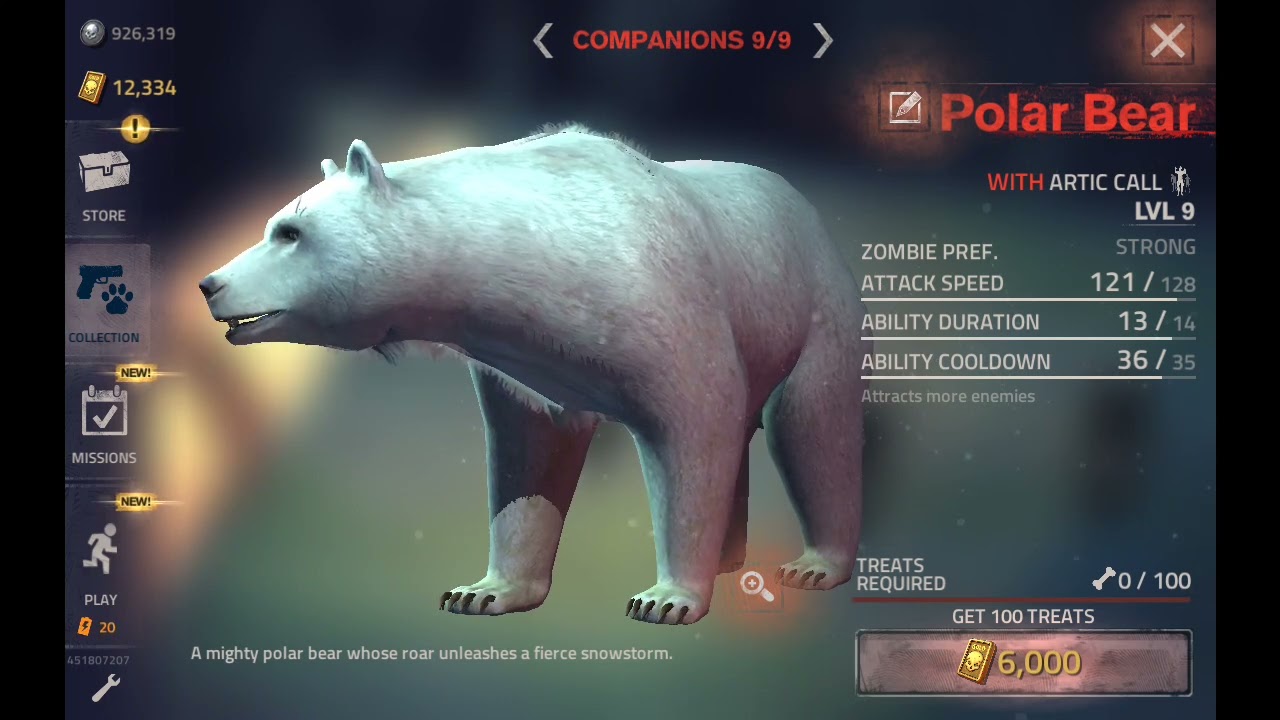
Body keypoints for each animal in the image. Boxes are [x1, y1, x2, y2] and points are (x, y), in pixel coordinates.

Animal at [199, 123, 870, 625]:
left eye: (290, 231)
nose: (210, 284)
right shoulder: (522, 361)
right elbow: (529, 455)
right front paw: (482, 591)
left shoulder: (663, 304)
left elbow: (694, 429)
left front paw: (666, 599)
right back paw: (731, 561)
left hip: (812, 305)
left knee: (812, 426)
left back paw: (814, 564)